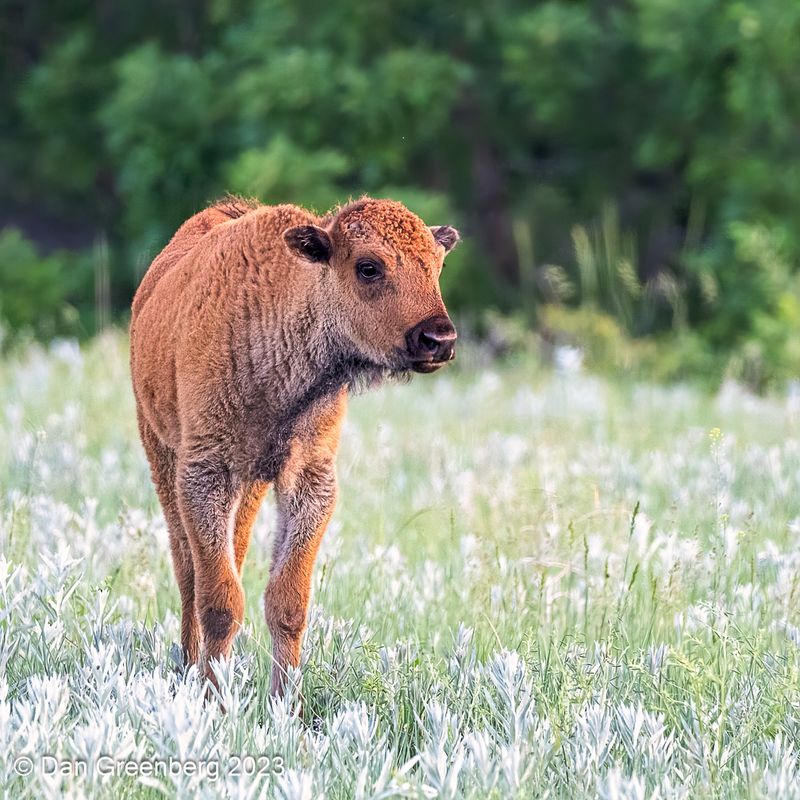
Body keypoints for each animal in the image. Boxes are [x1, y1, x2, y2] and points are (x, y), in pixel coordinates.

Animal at [129, 195, 460, 692]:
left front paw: (285, 701)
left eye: (436, 266)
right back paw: (187, 665)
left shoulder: (308, 477)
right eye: (368, 268)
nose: (438, 338)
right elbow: (220, 601)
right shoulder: (203, 473)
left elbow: (287, 601)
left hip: (248, 484)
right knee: (187, 569)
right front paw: (214, 696)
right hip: (161, 453)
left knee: (232, 552)